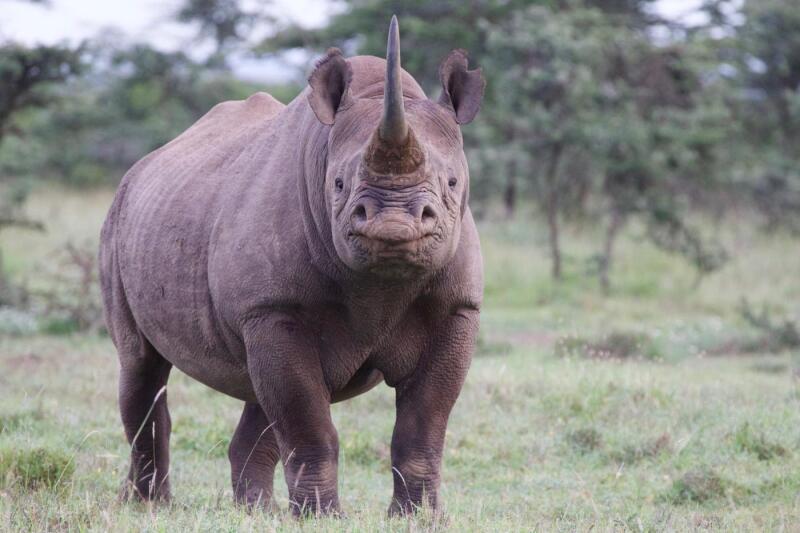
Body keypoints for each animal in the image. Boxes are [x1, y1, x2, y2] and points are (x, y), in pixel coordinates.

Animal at [99, 16, 485, 516]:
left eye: (453, 183)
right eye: (337, 184)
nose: (393, 223)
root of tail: (143, 165)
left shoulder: (457, 307)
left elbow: (423, 427)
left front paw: (417, 517)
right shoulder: (274, 306)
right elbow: (307, 422)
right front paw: (323, 518)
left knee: (259, 395)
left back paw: (255, 512)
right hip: (118, 219)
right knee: (141, 366)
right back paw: (151, 506)